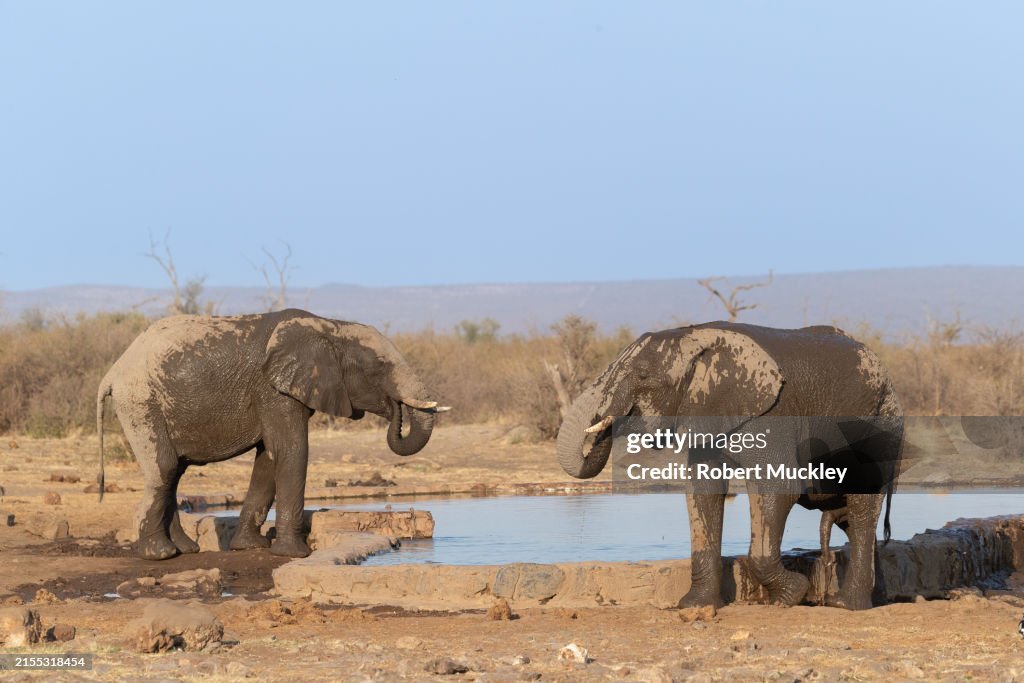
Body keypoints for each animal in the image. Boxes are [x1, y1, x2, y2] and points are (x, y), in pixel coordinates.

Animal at [97, 309, 447, 560]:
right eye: (379, 368)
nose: (395, 408)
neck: (331, 326)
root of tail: (112, 372)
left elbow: (269, 457)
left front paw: (250, 548)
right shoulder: (274, 390)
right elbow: (292, 450)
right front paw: (294, 554)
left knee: (173, 472)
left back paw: (184, 550)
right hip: (141, 402)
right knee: (166, 468)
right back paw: (160, 555)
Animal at [557, 322, 903, 610]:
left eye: (642, 375)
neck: (697, 335)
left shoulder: (771, 413)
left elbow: (777, 489)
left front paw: (791, 595)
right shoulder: (704, 410)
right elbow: (702, 493)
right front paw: (693, 606)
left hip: (881, 422)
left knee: (862, 504)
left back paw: (845, 605)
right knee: (850, 518)